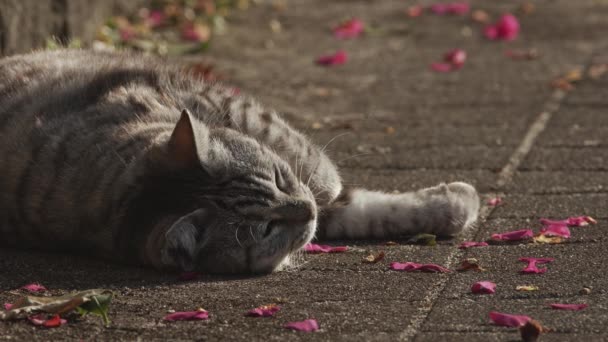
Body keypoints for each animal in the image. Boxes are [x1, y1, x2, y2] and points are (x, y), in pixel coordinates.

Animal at [0, 50, 480, 276]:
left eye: (279, 177)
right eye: (265, 229)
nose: (304, 210)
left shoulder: (209, 99)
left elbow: (322, 174)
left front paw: (451, 204)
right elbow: (348, 207)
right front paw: (456, 204)